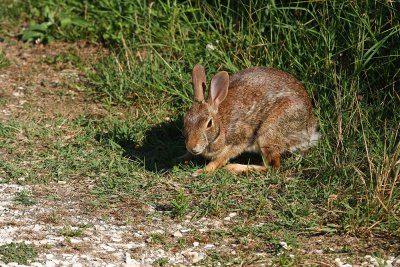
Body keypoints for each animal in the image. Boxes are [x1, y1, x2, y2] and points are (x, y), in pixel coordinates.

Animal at [182, 64, 318, 178]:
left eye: (209, 123)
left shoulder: (238, 141)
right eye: (185, 120)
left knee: (273, 167)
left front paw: (201, 171)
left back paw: (233, 168)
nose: (192, 147)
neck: (222, 124)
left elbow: (219, 159)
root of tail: (310, 130)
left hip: (268, 134)